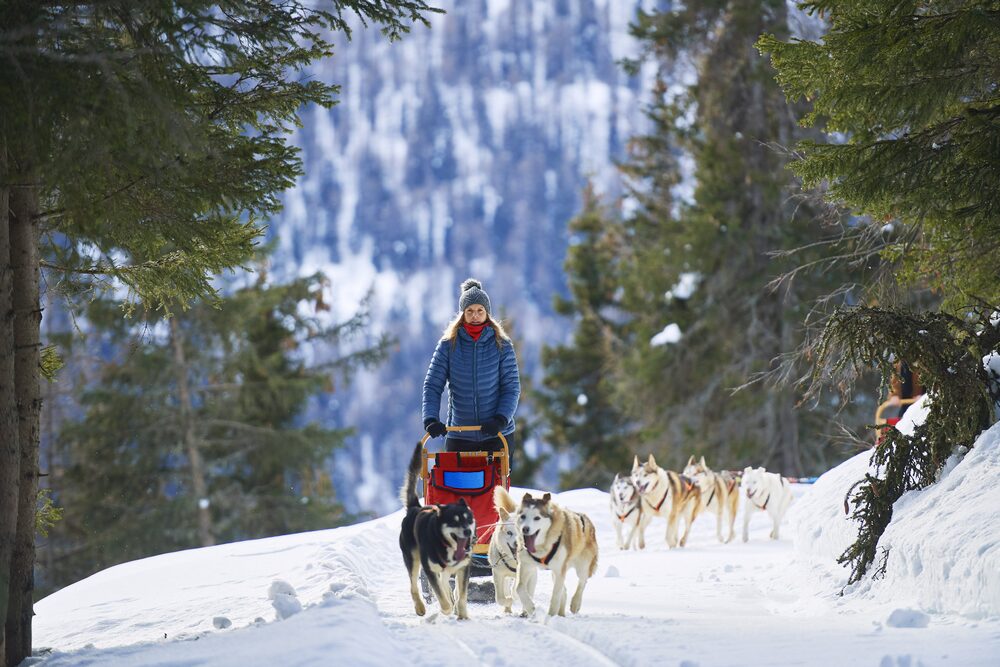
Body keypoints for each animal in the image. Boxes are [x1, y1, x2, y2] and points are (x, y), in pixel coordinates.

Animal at [398, 444, 476, 620]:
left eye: (468, 519)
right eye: (454, 521)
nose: (468, 532)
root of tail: (415, 508)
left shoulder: (463, 568)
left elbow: (461, 596)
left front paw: (462, 614)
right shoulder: (430, 570)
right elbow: (443, 599)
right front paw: (446, 609)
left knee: (445, 582)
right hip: (413, 560)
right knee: (414, 586)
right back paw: (420, 607)